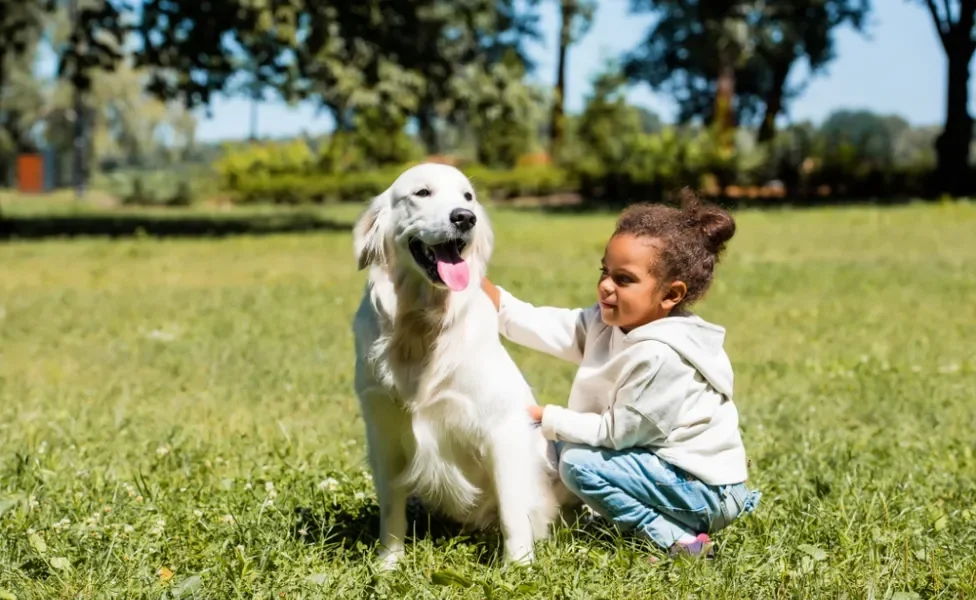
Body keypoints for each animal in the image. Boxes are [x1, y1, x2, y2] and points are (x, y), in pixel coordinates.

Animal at [350, 163, 564, 568]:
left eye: (468, 196)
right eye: (422, 193)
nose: (465, 218)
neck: (421, 327)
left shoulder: (503, 428)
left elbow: (513, 511)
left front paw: (519, 566)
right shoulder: (382, 430)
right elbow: (391, 509)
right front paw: (388, 563)